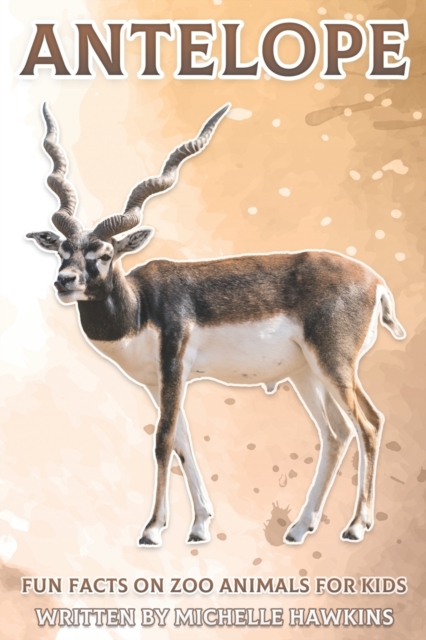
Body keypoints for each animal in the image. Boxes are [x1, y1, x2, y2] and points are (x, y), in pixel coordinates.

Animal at [27, 103, 405, 546]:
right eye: (62, 250)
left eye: (103, 254)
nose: (65, 281)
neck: (141, 305)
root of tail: (376, 281)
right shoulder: (157, 383)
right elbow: (183, 442)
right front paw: (200, 525)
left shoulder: (175, 367)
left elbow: (162, 441)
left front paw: (153, 530)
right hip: (307, 374)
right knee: (337, 433)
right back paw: (299, 528)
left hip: (335, 365)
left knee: (369, 425)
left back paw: (356, 525)